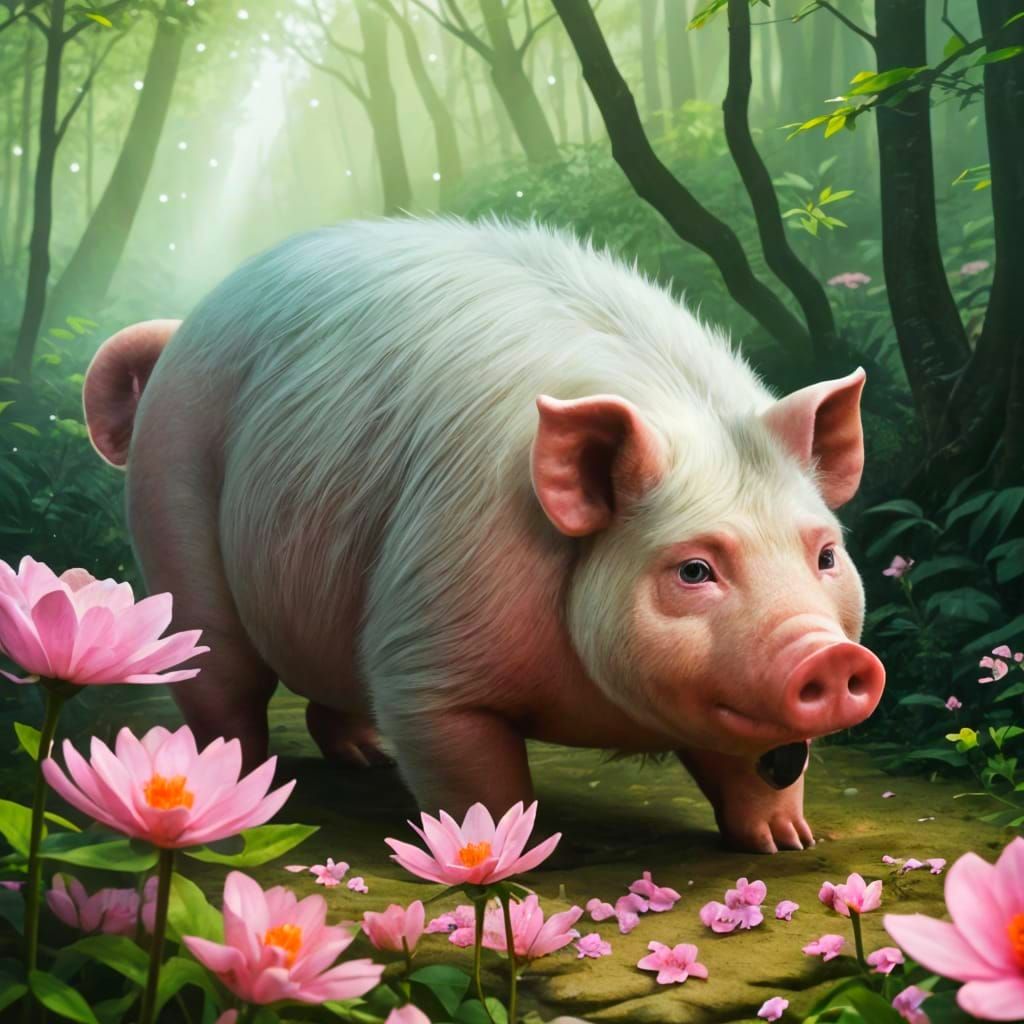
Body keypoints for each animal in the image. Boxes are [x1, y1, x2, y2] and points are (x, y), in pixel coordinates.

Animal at [83, 218, 884, 853]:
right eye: (693, 569)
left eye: (825, 555)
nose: (832, 654)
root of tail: (179, 333)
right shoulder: (428, 637)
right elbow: (473, 774)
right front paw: (506, 861)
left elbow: (755, 763)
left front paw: (789, 842)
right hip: (175, 516)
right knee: (221, 683)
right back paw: (239, 798)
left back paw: (368, 758)